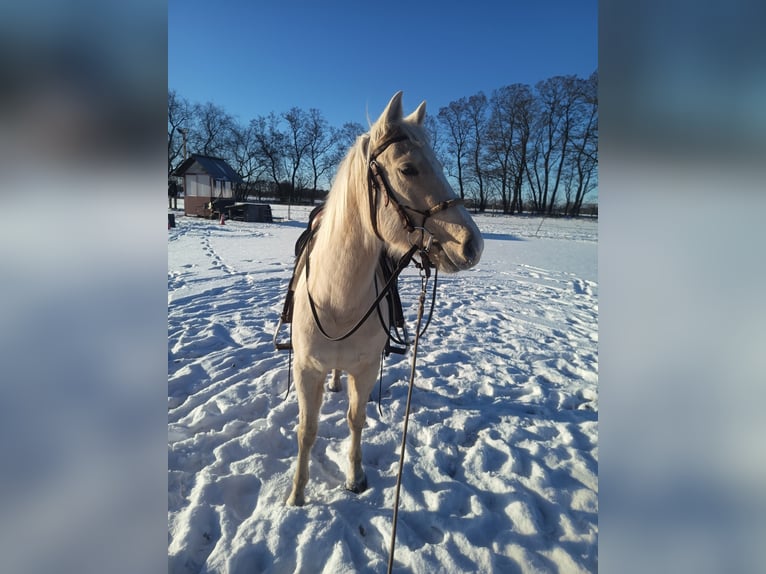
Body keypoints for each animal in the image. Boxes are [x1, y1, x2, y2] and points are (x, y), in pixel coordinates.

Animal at [285, 91, 484, 506]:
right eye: (408, 169)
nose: (473, 246)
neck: (338, 299)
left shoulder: (365, 368)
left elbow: (356, 420)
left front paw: (355, 478)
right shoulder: (306, 370)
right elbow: (306, 431)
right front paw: (296, 495)